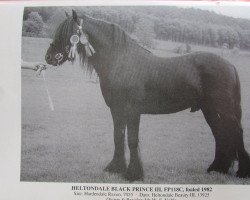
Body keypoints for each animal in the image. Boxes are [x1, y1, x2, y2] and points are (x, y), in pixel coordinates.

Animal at [45, 9, 250, 181]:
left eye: (66, 33)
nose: (49, 57)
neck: (120, 61)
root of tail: (230, 66)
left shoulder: (132, 111)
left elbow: (132, 140)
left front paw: (133, 174)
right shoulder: (116, 110)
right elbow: (118, 137)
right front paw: (115, 168)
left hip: (223, 109)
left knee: (235, 132)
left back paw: (241, 172)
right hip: (210, 110)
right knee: (220, 134)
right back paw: (218, 168)